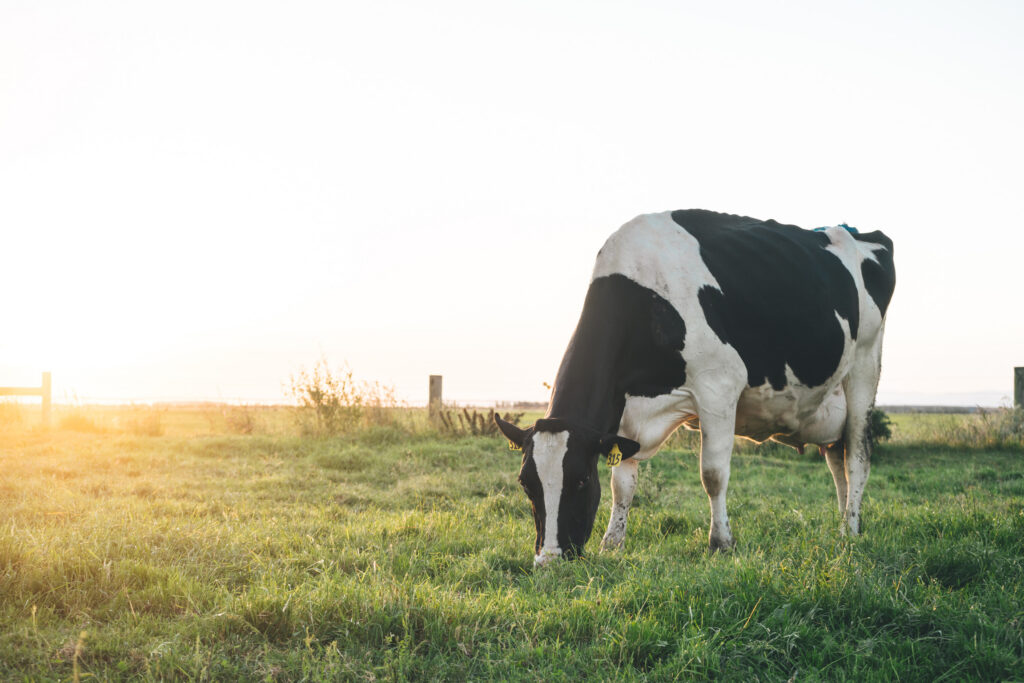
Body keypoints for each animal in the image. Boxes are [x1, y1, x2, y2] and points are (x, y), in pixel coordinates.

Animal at [495, 209, 895, 566]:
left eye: (580, 480)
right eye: (525, 483)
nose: (549, 559)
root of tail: (854, 230)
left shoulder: (718, 385)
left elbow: (712, 475)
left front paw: (720, 543)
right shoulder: (624, 413)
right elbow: (621, 482)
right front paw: (612, 544)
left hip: (864, 367)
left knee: (857, 458)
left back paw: (850, 530)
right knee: (837, 462)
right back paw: (843, 525)